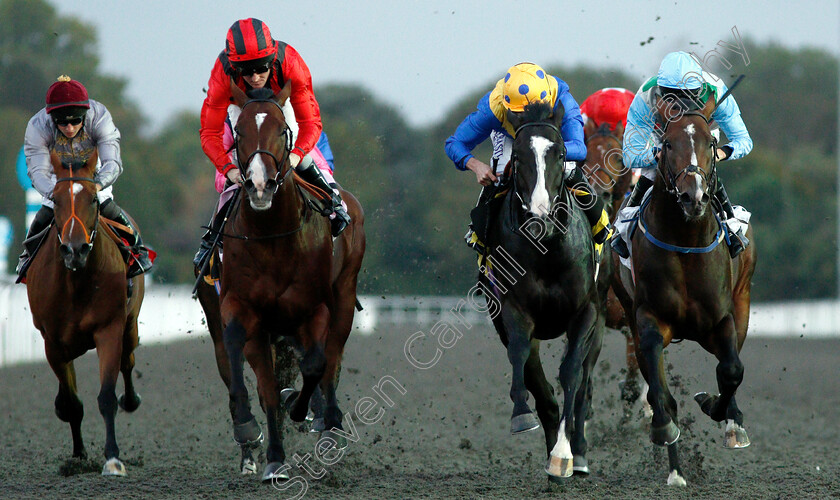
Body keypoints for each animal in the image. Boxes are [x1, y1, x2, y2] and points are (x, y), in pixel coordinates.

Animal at [25, 149, 144, 476]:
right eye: (56, 200)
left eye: (92, 199)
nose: (74, 250)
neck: (75, 283)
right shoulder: (52, 343)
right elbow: (71, 403)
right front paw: (78, 455)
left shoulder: (109, 330)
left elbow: (106, 397)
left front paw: (113, 459)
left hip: (130, 325)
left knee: (128, 362)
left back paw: (131, 399)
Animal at [205, 81, 366, 480]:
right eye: (238, 132)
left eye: (282, 131)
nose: (260, 185)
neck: (272, 237)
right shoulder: (240, 307)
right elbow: (245, 365)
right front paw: (259, 440)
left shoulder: (314, 307)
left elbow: (315, 365)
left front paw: (303, 409)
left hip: (344, 295)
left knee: (331, 360)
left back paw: (328, 421)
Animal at [480, 98, 604, 480]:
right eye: (518, 158)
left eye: (561, 153)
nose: (539, 220)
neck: (546, 249)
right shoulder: (513, 311)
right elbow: (522, 359)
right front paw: (522, 415)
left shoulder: (586, 312)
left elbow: (572, 374)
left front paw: (565, 454)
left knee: (584, 385)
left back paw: (577, 454)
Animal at [612, 95, 756, 486]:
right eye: (667, 144)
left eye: (709, 142)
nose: (694, 196)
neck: (685, 241)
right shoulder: (648, 320)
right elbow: (660, 393)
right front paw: (666, 432)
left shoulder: (721, 318)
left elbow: (731, 370)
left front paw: (721, 413)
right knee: (654, 386)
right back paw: (675, 468)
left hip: (743, 301)